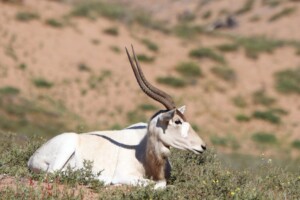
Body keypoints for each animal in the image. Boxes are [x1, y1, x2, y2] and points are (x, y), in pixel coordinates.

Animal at [28, 45, 206, 189]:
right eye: (177, 121)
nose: (203, 146)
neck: (145, 151)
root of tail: (32, 158)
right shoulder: (126, 175)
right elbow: (159, 185)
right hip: (67, 145)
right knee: (53, 173)